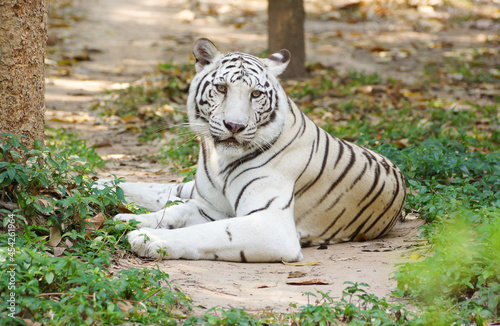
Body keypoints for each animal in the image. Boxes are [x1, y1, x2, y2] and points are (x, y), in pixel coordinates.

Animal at [113, 38, 406, 262]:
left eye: (255, 94)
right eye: (221, 88)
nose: (235, 126)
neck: (220, 160)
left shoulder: (270, 224)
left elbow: (211, 232)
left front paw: (147, 239)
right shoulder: (213, 208)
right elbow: (183, 210)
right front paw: (135, 223)